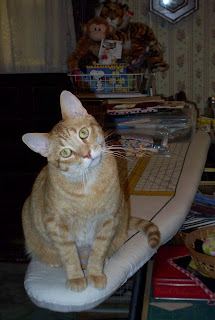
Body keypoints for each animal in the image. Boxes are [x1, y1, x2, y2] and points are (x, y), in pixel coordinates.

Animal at [21, 90, 160, 292]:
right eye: (66, 153)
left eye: (83, 133)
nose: (87, 154)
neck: (88, 185)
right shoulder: (57, 226)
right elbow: (69, 256)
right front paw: (76, 278)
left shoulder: (108, 220)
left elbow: (98, 253)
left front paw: (95, 273)